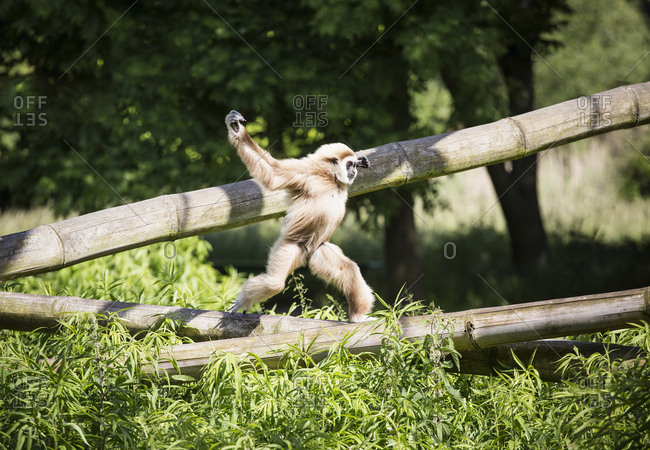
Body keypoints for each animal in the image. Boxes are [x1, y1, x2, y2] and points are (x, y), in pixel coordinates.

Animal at [224, 110, 375, 322]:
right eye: (349, 165)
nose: (354, 170)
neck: (329, 179)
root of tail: (306, 253)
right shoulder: (305, 173)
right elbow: (274, 173)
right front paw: (237, 130)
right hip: (289, 245)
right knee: (274, 282)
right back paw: (245, 298)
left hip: (319, 249)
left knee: (348, 269)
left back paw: (357, 316)